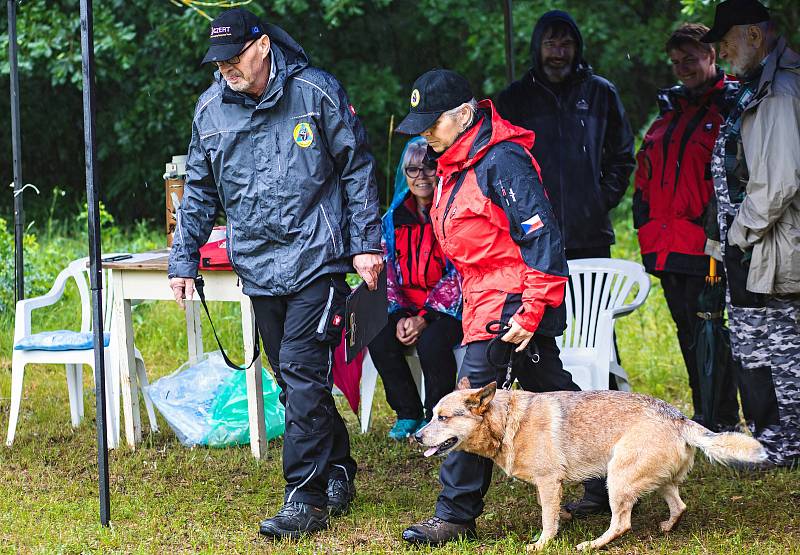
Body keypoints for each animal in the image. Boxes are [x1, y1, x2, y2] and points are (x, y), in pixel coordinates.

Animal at [416, 378, 764, 552]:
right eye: (431, 414)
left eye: (442, 417)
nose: (417, 436)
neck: (508, 422)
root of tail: (680, 418)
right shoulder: (549, 486)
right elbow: (553, 514)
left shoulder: (548, 482)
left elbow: (548, 521)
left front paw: (542, 544)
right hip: (652, 478)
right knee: (679, 505)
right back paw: (667, 526)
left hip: (617, 477)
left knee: (622, 523)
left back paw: (592, 544)